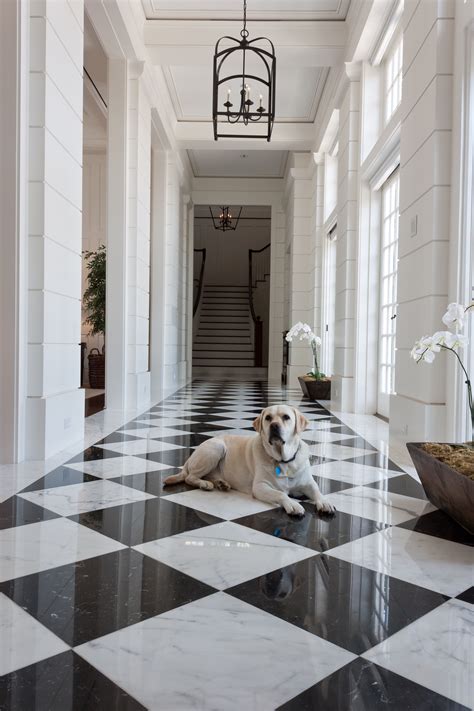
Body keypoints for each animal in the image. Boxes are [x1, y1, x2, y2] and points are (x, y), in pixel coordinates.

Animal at [165, 406, 336, 516]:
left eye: (286, 417)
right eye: (268, 418)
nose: (274, 426)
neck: (283, 460)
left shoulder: (308, 482)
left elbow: (316, 490)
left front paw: (324, 502)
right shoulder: (260, 487)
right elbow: (281, 494)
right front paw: (293, 504)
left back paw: (221, 483)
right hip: (216, 448)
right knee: (190, 477)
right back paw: (205, 484)